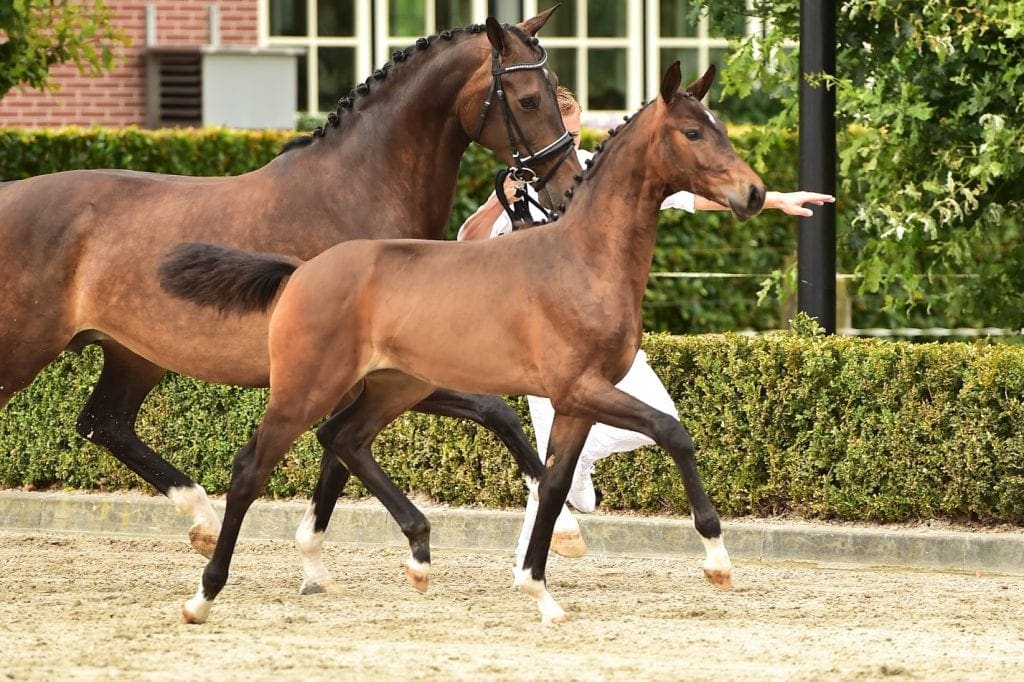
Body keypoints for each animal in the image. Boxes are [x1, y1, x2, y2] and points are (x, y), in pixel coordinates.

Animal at [0, 11, 585, 587]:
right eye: (528, 99)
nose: (568, 189)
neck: (356, 192)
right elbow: (356, 445)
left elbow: (476, 417)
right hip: (26, 353)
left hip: (133, 354)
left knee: (106, 422)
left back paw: (204, 522)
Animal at [159, 62, 765, 624]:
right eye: (693, 131)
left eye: (721, 127)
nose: (755, 193)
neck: (583, 258)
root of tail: (300, 271)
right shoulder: (584, 389)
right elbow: (672, 432)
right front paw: (717, 560)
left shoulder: (574, 403)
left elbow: (552, 486)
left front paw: (539, 592)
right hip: (305, 388)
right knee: (250, 468)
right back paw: (202, 596)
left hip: (394, 387)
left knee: (345, 438)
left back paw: (419, 555)